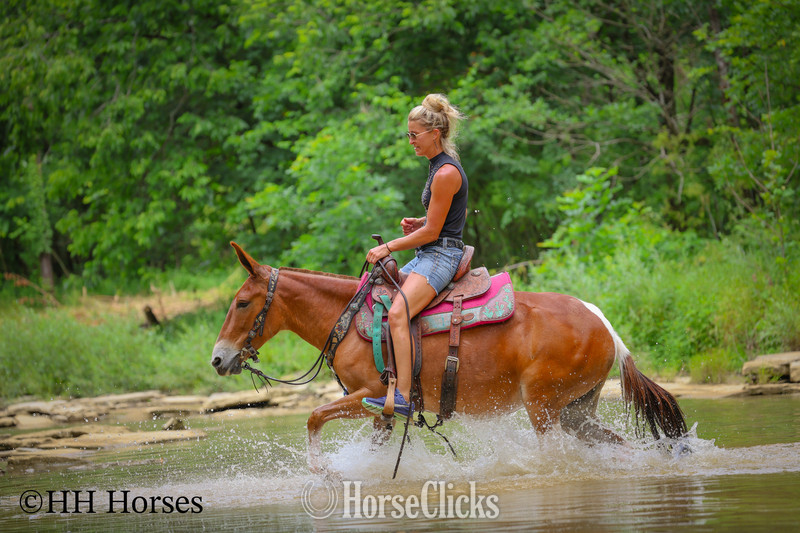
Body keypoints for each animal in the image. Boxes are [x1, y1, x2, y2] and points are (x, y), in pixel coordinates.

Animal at [211, 242, 687, 469]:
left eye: (241, 303)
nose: (218, 359)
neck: (348, 316)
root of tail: (603, 323)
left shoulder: (371, 395)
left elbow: (313, 417)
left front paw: (323, 471)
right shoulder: (382, 414)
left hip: (544, 408)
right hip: (576, 411)